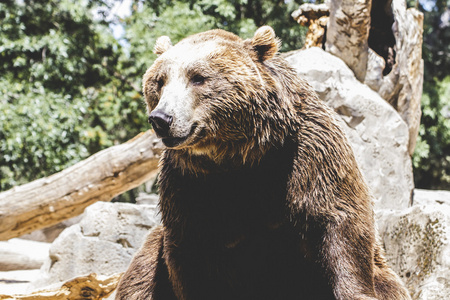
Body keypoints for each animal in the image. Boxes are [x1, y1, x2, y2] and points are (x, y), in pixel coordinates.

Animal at [116, 26, 412, 300]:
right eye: (159, 81)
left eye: (198, 78)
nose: (162, 118)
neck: (238, 155)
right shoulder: (189, 179)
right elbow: (191, 249)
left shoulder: (308, 156)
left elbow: (340, 222)